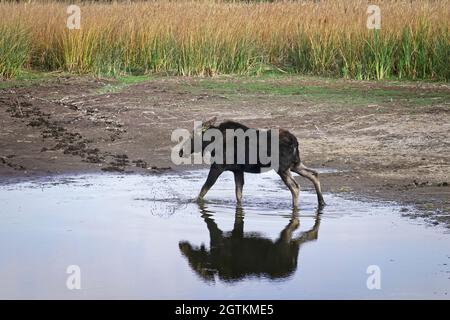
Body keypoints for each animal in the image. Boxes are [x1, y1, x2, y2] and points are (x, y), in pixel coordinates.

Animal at [178, 117, 326, 208]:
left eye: (192, 136)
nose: (180, 152)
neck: (212, 142)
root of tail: (295, 142)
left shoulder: (218, 167)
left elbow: (204, 189)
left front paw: (194, 202)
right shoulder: (237, 170)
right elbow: (238, 194)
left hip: (282, 168)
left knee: (295, 187)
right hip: (295, 164)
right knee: (314, 174)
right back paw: (321, 202)